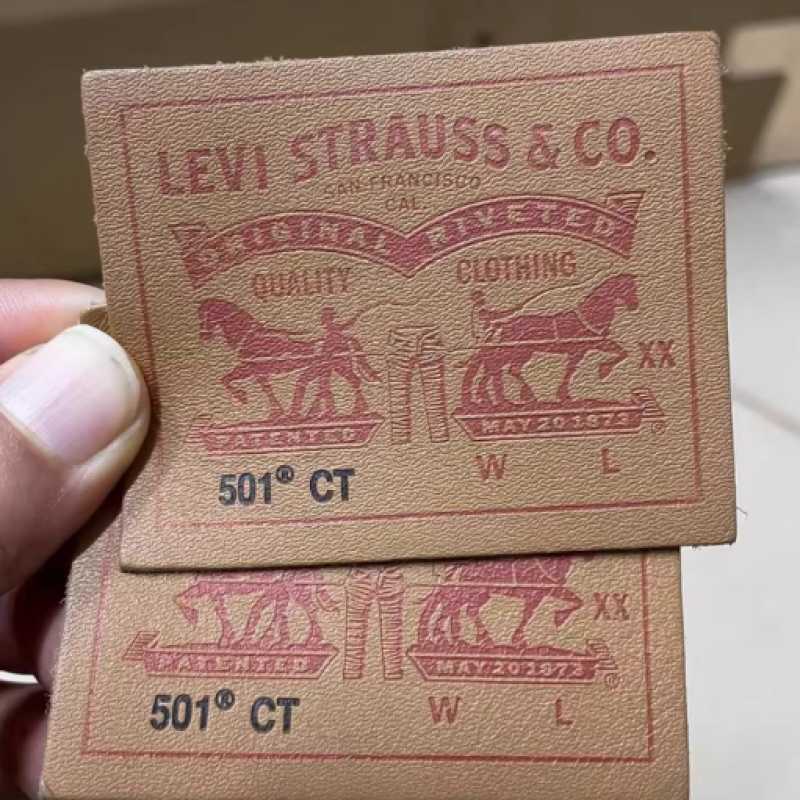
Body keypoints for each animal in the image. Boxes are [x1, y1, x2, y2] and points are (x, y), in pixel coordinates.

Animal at [462, 274, 639, 408]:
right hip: (517, 351)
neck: (590, 317)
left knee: (502, 369)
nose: (634, 306)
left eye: (634, 288)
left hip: (521, 352)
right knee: (500, 368)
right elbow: (571, 370)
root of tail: (504, 324)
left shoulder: (590, 346)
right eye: (628, 288)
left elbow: (620, 351)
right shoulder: (578, 350)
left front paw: (602, 371)